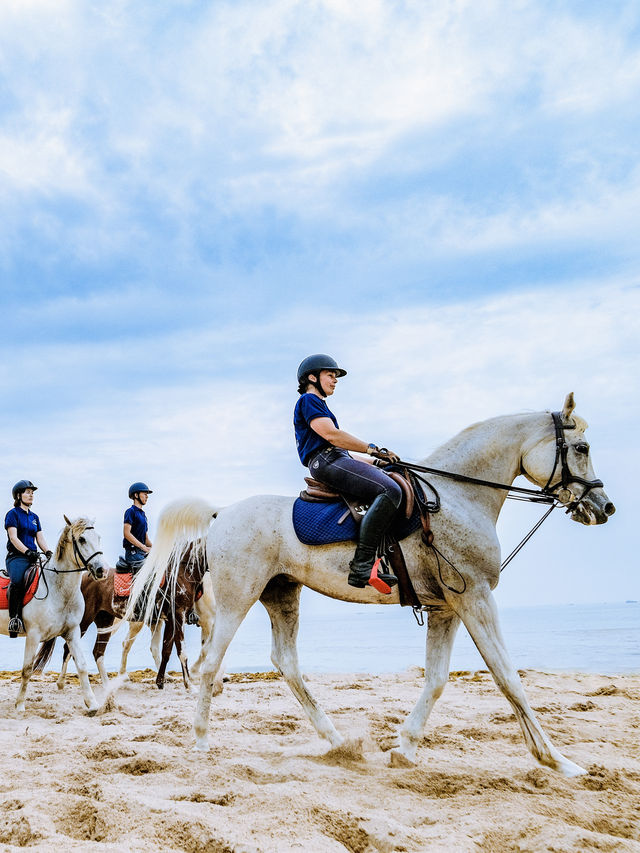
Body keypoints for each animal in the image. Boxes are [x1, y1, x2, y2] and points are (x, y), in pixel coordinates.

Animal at [0, 516, 109, 716]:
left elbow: (82, 665)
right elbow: (27, 669)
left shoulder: (72, 633)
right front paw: (19, 705)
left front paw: (92, 704)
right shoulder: (33, 636)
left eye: (98, 537)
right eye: (82, 539)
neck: (58, 590)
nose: (102, 570)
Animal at [126, 396, 616, 776]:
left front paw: (405, 747)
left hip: (282, 595)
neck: (458, 498)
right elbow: (508, 677)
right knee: (210, 663)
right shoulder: (475, 598)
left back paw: (337, 740)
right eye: (582, 447)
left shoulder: (446, 608)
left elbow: (437, 679)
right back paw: (202, 741)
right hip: (235, 600)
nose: (603, 506)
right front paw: (556, 761)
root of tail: (222, 512)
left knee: (285, 663)